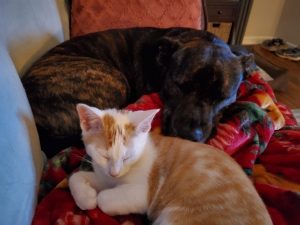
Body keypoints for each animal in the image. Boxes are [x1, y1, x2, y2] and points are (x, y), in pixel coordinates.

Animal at [69, 103, 274, 225]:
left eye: (127, 157)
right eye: (104, 156)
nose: (115, 173)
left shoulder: (141, 193)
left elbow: (105, 198)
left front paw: (98, 198)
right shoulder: (104, 174)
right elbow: (75, 177)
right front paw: (86, 197)